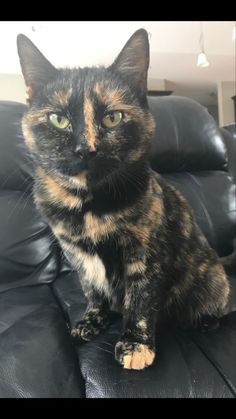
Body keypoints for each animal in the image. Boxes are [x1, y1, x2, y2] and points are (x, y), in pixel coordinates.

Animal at [17, 28, 230, 370]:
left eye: (113, 118)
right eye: (58, 119)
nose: (85, 150)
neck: (89, 205)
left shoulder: (145, 252)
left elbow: (140, 300)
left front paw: (135, 344)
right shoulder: (76, 252)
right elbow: (92, 289)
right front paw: (91, 322)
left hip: (210, 279)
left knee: (218, 305)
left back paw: (204, 321)